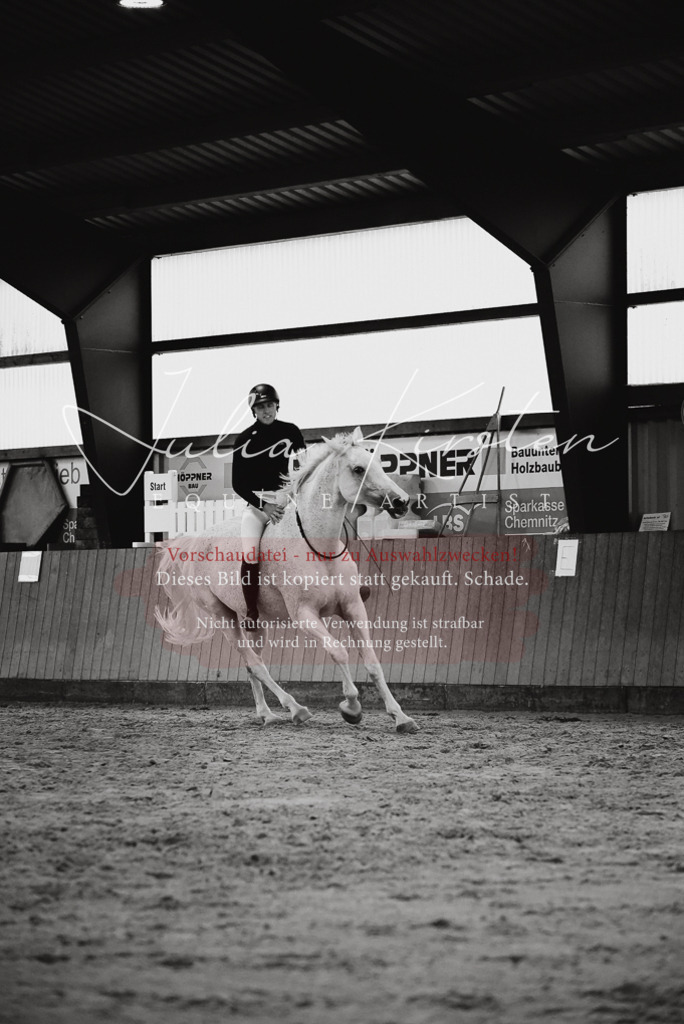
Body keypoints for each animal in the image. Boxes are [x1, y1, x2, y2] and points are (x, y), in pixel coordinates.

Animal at [154, 428, 419, 733]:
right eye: (358, 469)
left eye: (378, 464)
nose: (402, 502)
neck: (319, 548)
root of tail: (196, 540)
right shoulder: (304, 615)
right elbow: (339, 651)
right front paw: (351, 708)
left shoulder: (353, 608)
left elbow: (372, 661)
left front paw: (401, 717)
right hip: (223, 616)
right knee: (254, 662)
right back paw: (296, 709)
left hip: (254, 621)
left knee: (253, 663)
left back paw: (267, 714)